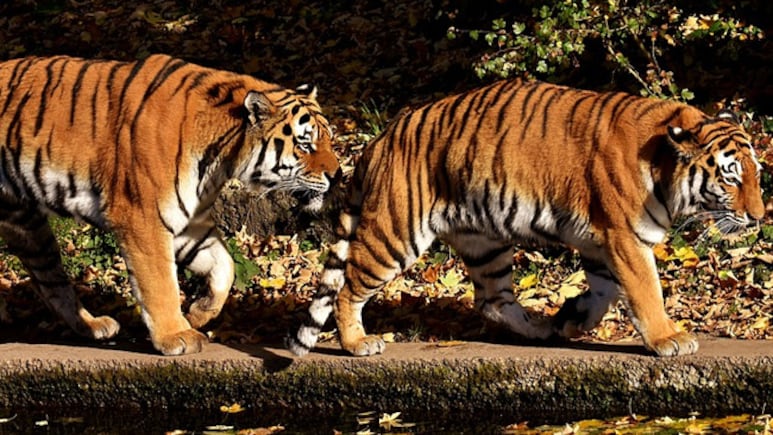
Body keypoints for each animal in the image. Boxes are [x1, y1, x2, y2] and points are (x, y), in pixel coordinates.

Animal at [0, 54, 341, 355]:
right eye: (305, 144)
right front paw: (176, 336)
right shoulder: (142, 217)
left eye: (329, 139)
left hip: (28, 228)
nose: (338, 175)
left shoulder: (191, 222)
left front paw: (199, 313)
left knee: (50, 281)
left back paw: (93, 326)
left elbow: (225, 267)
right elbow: (160, 283)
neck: (221, 158)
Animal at [287, 78, 765, 358]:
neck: (663, 163)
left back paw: (539, 329)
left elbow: (606, 291)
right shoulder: (625, 238)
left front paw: (574, 318)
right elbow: (646, 292)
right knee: (348, 287)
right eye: (731, 177)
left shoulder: (602, 242)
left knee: (492, 300)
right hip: (396, 234)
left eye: (757, 174)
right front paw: (668, 338)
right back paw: (357, 343)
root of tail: (380, 139)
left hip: (486, 243)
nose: (760, 217)